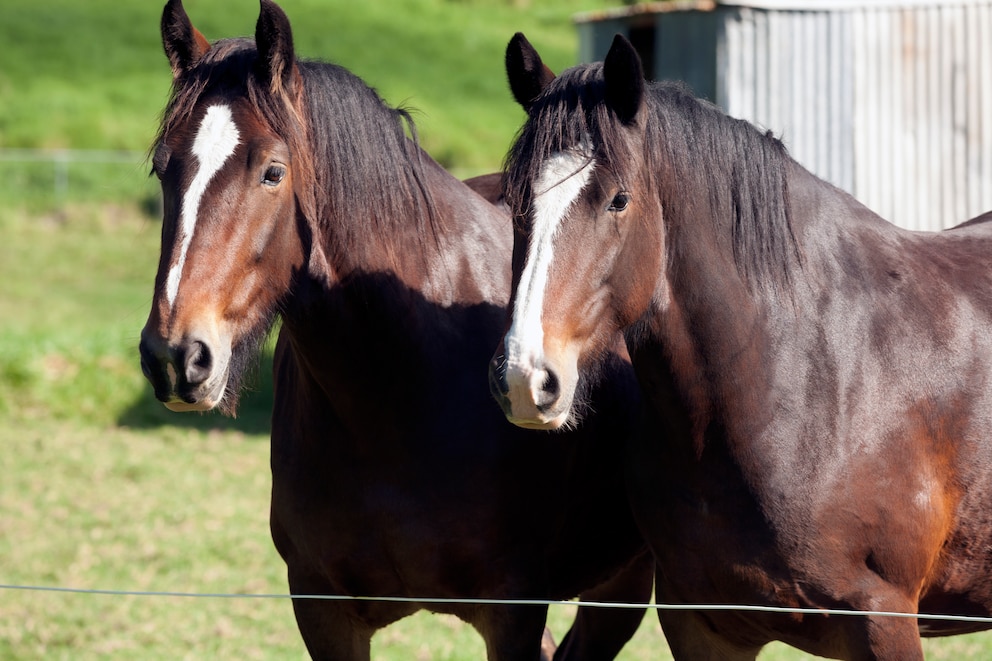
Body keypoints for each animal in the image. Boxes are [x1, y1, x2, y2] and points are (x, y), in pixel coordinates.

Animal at [136, 2, 656, 656]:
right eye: (163, 168)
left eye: (272, 172)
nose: (176, 356)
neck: (401, 384)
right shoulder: (324, 612)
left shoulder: (512, 613)